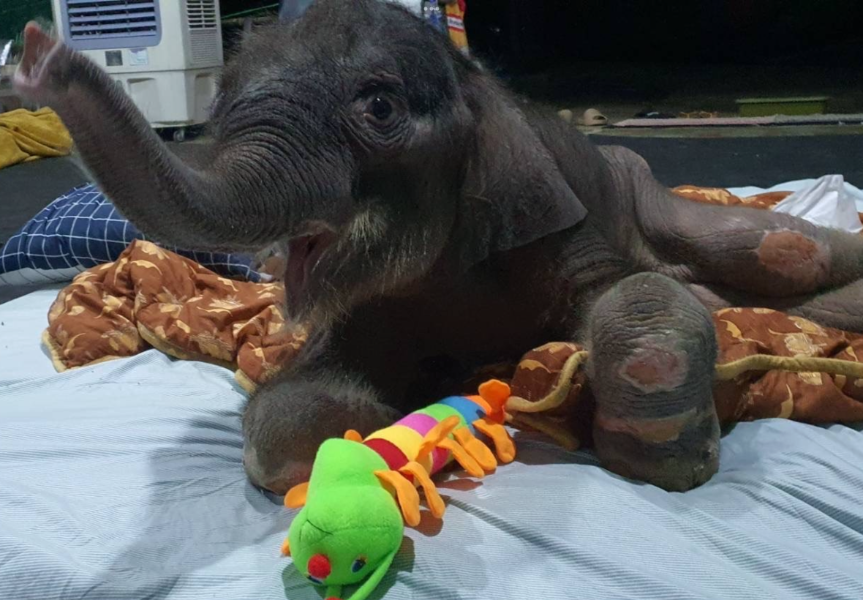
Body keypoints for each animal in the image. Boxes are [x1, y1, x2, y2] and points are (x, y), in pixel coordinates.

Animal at [15, 0, 863, 495]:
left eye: (379, 107)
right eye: (218, 103)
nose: (34, 53)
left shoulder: (563, 216)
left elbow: (631, 294)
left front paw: (656, 461)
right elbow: (289, 411)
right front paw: (368, 425)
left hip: (646, 192)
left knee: (775, 244)